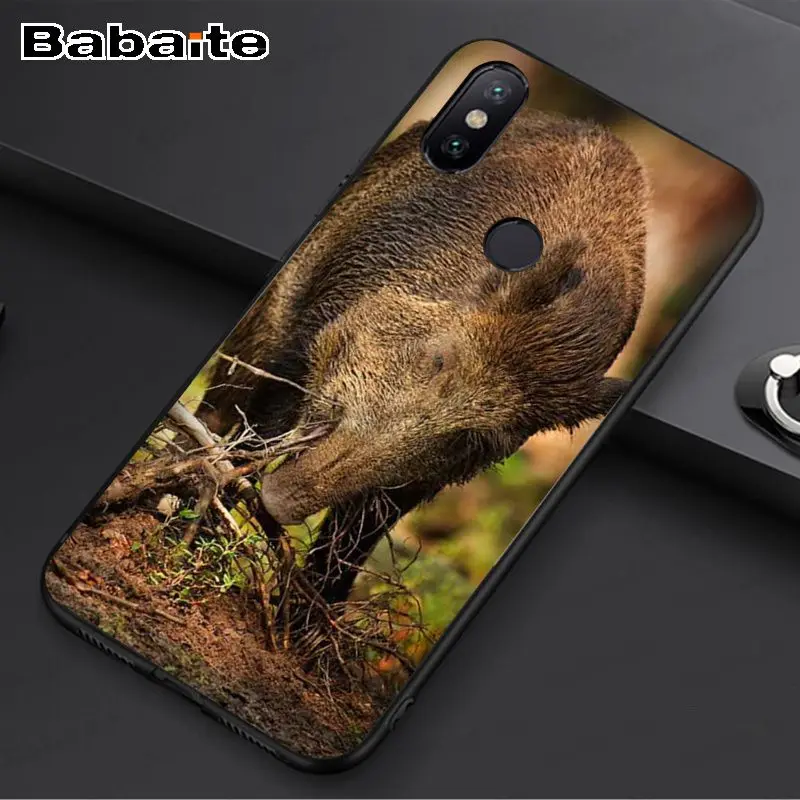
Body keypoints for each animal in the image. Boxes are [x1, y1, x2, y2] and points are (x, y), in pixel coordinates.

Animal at [199, 108, 649, 603]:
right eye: (439, 360)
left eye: (470, 439)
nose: (281, 500)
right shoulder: (306, 336)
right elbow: (258, 431)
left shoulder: (421, 483)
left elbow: (352, 544)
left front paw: (308, 622)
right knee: (220, 405)